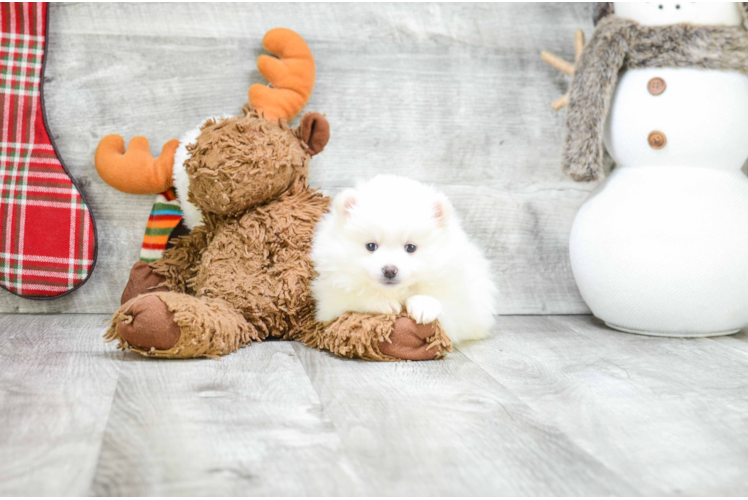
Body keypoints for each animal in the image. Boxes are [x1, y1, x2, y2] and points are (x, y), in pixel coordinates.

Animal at [310, 176, 496, 344]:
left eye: (411, 248)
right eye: (371, 246)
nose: (389, 270)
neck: (396, 292)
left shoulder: (463, 309)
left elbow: (442, 306)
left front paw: (423, 305)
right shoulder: (329, 305)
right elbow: (354, 298)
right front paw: (382, 302)